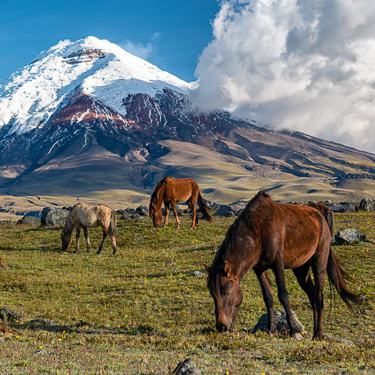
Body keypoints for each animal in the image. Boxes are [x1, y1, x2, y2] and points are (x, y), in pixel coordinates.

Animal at [206, 191, 362, 340]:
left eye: (226, 292)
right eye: (213, 294)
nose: (221, 327)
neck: (259, 230)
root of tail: (319, 213)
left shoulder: (278, 264)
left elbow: (283, 296)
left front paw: (294, 330)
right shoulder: (259, 269)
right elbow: (268, 297)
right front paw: (272, 329)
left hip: (319, 262)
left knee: (319, 297)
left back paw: (319, 334)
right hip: (301, 269)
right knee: (312, 296)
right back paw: (314, 333)